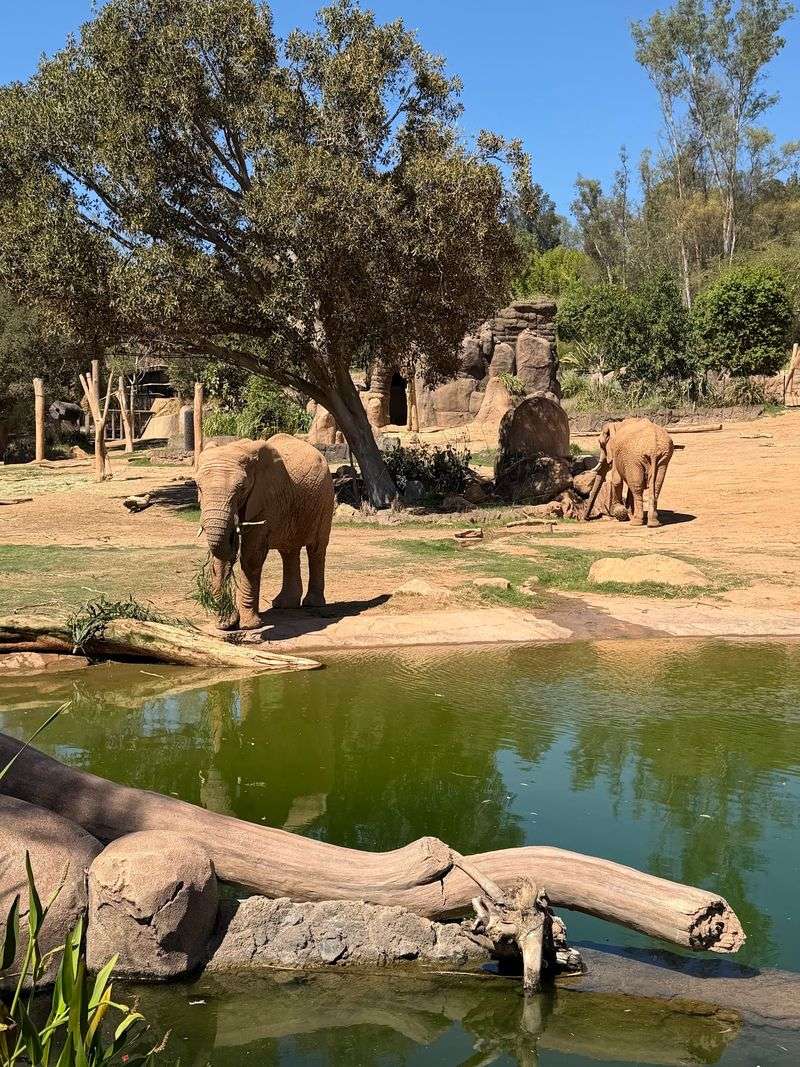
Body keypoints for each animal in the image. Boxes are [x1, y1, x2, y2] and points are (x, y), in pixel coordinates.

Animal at [196, 434, 335, 630]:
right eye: (199, 487)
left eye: (242, 489)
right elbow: (220, 558)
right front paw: (225, 624)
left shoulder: (265, 498)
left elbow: (251, 555)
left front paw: (250, 625)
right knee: (288, 551)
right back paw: (284, 604)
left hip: (325, 499)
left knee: (316, 549)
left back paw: (313, 604)